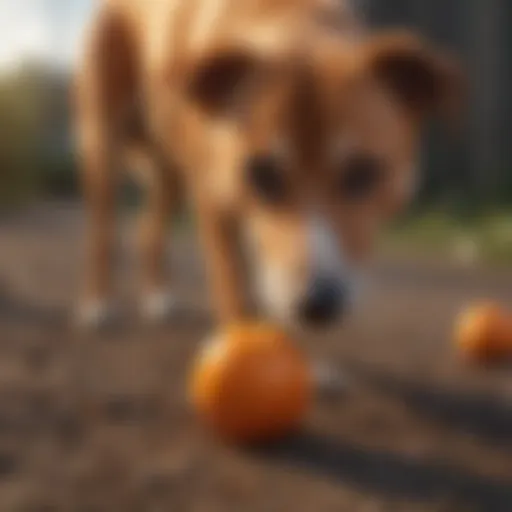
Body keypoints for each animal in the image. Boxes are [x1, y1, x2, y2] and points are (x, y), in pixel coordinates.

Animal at [75, 0, 460, 332]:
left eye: (362, 172)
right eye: (261, 172)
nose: (316, 305)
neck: (295, 23)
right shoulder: (215, 200)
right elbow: (233, 285)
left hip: (172, 174)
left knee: (147, 231)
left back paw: (159, 298)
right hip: (103, 146)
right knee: (102, 233)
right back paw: (98, 305)